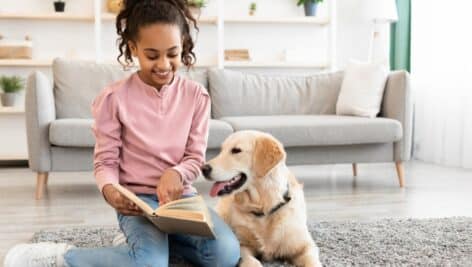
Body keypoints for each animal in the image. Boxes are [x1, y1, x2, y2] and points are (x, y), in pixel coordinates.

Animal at [201, 131, 322, 266]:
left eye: (236, 150)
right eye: (221, 150)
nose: (203, 169)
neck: (263, 207)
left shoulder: (305, 246)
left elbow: (313, 262)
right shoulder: (242, 245)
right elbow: (252, 261)